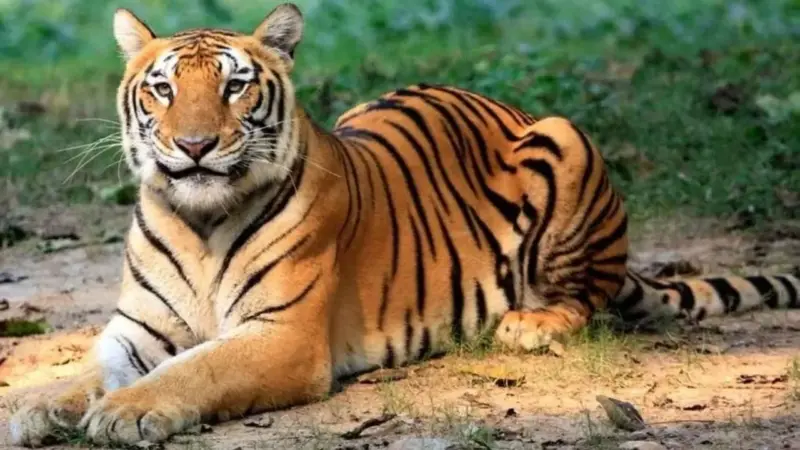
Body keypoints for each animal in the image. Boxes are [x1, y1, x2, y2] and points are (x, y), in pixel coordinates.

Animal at [9, 2, 799, 447]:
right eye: (163, 89)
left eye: (235, 85)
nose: (196, 145)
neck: (197, 220)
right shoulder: (138, 330)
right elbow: (85, 370)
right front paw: (34, 407)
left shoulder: (281, 336)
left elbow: (196, 368)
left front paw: (126, 413)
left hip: (565, 137)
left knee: (590, 298)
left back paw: (529, 324)